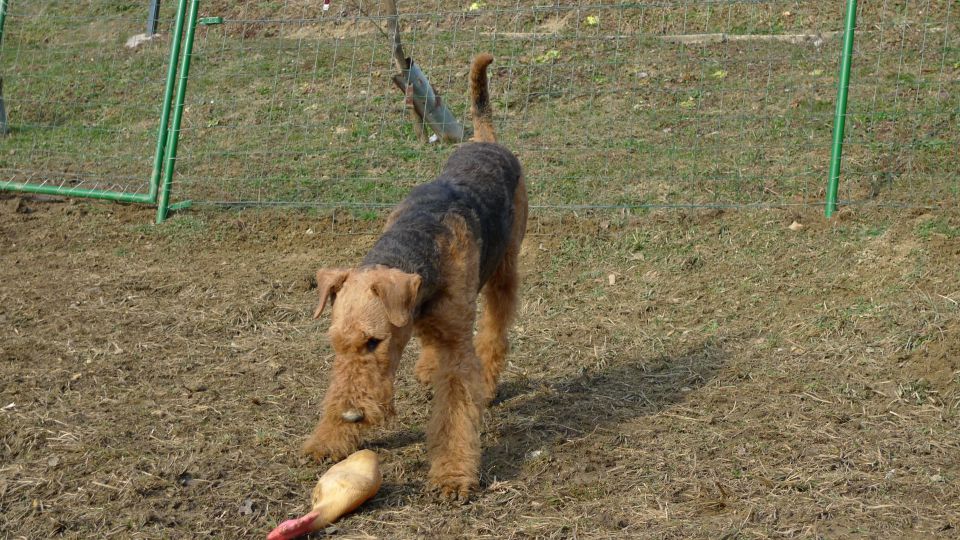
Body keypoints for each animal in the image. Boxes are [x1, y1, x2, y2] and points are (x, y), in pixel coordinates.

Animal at [304, 52, 528, 500]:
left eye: (374, 342)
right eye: (336, 343)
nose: (351, 415)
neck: (415, 241)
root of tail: (486, 138)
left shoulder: (457, 348)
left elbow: (455, 409)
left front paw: (452, 477)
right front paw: (326, 441)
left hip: (503, 270)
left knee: (495, 330)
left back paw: (487, 382)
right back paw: (426, 366)